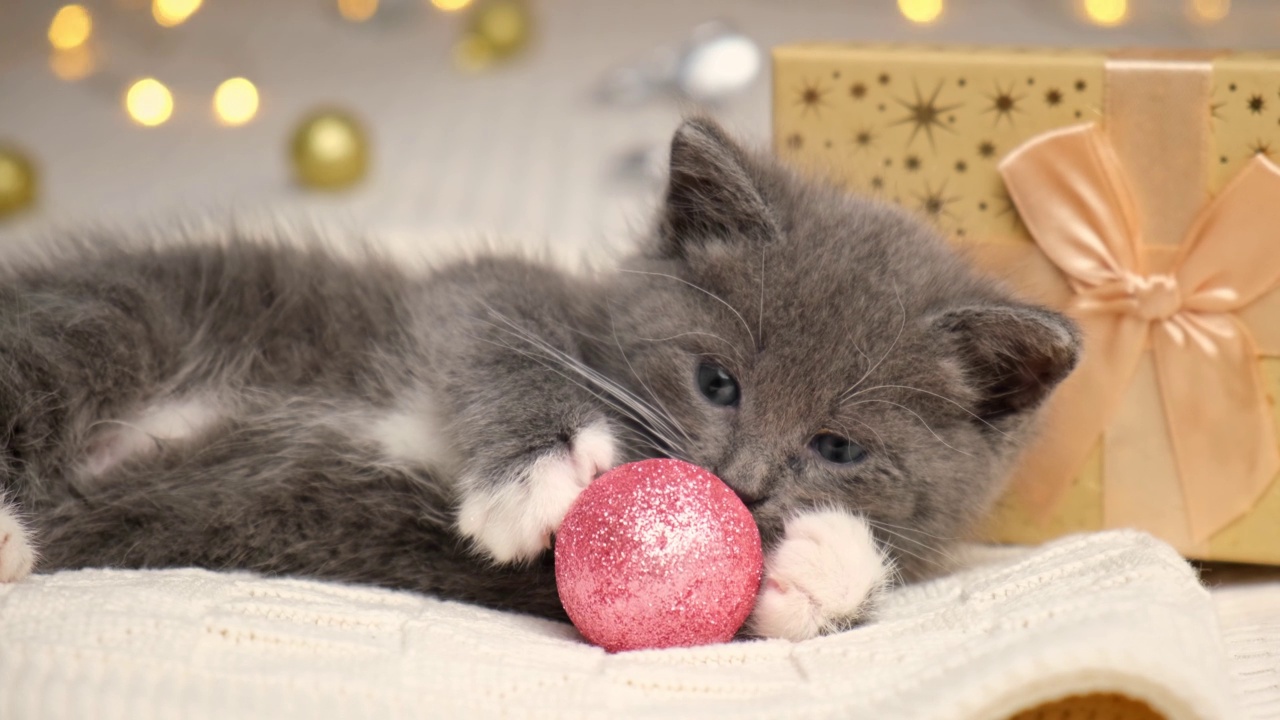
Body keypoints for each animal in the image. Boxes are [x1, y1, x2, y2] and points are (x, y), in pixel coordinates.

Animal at [0, 117, 1080, 638]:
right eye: (715, 382)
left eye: (838, 447)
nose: (738, 485)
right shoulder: (468, 288)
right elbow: (495, 326)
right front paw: (538, 469)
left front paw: (819, 571)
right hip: (133, 306)